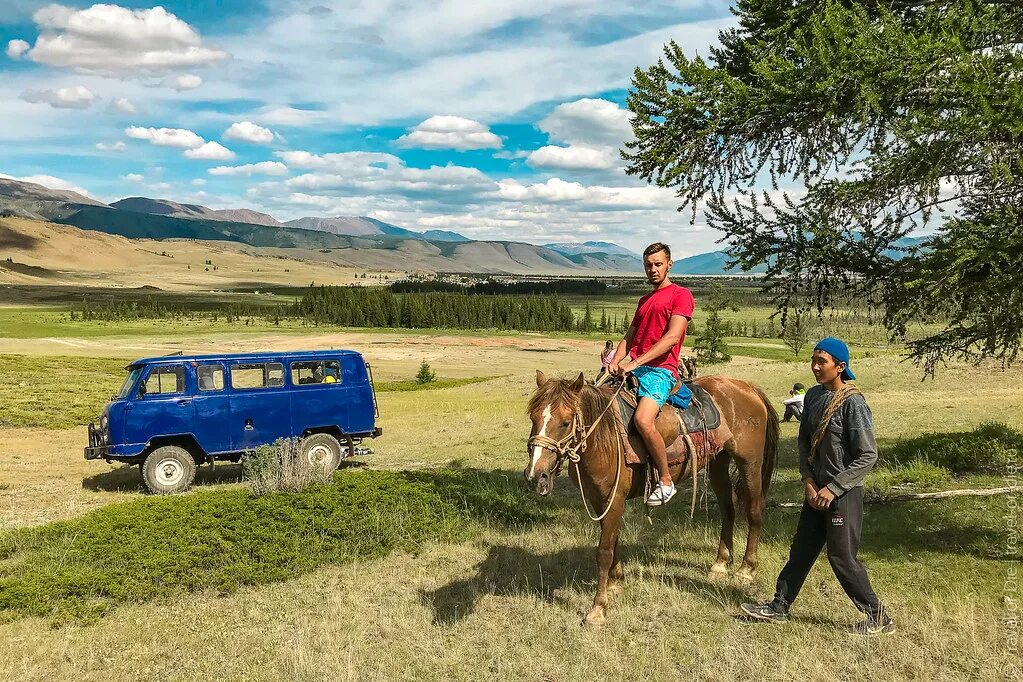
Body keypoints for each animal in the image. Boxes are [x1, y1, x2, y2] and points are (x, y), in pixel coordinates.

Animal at [523, 370, 777, 625]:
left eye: (565, 423)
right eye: (533, 418)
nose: (536, 476)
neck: (602, 438)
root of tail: (748, 387)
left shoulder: (614, 501)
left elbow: (604, 551)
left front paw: (598, 609)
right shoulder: (600, 501)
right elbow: (613, 542)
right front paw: (616, 583)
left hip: (750, 463)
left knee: (754, 510)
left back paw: (746, 570)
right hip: (718, 462)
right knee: (728, 509)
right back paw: (721, 564)